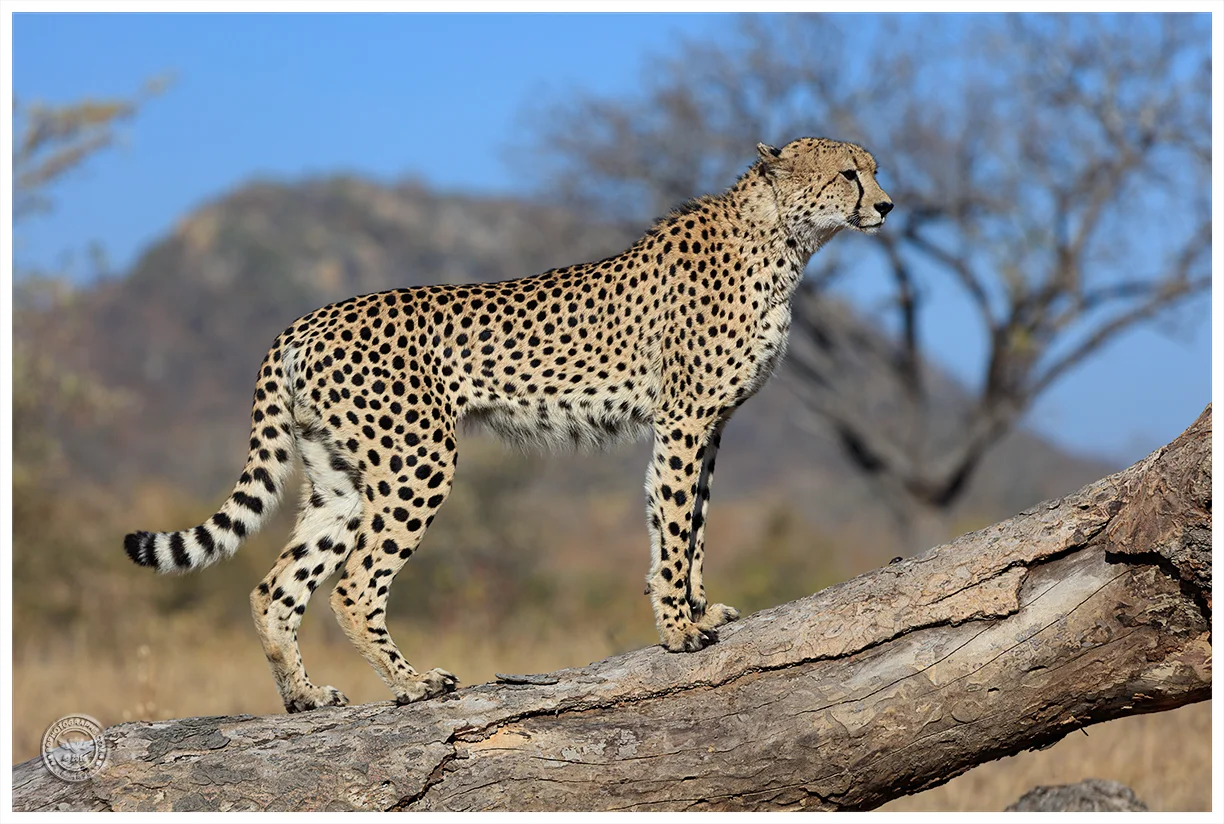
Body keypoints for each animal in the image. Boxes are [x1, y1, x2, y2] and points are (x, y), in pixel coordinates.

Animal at [124, 137, 893, 712]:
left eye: (875, 168)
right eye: (849, 173)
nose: (888, 205)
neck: (783, 237)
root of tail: (307, 320)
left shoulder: (709, 426)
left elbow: (690, 521)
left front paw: (697, 611)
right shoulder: (684, 420)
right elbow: (675, 525)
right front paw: (678, 630)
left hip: (338, 479)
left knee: (276, 587)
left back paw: (305, 696)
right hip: (416, 461)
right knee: (354, 583)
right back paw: (413, 684)